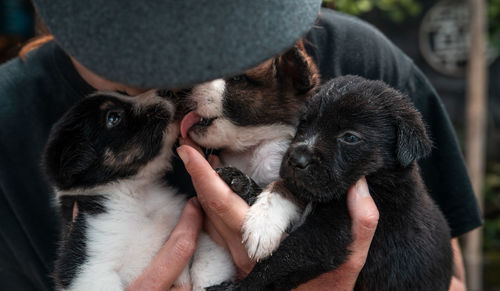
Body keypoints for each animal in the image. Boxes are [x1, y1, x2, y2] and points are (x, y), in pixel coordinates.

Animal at [210, 76, 454, 291]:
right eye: (304, 124)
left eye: (350, 137)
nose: (296, 160)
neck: (379, 179)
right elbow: (285, 187)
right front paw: (248, 196)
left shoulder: (326, 235)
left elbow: (278, 263)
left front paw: (238, 287)